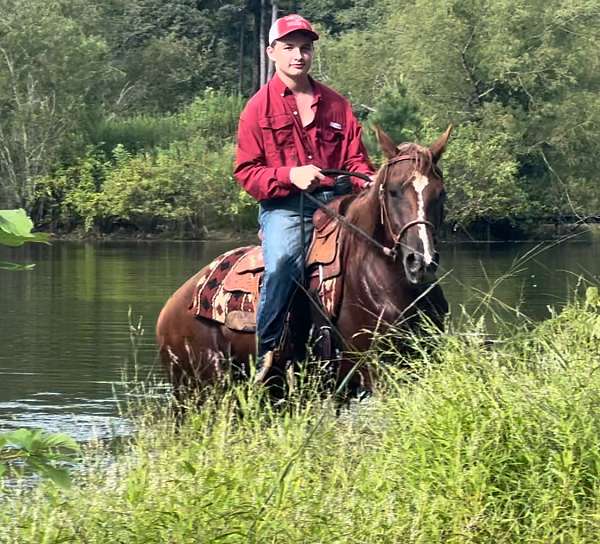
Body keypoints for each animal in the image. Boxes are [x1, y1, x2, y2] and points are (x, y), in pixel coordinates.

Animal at [156, 126, 450, 400]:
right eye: (393, 192)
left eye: (441, 193)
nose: (420, 261)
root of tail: (172, 306)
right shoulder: (378, 370)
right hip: (203, 389)